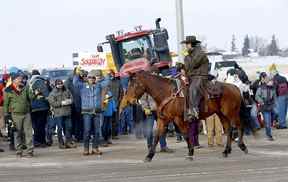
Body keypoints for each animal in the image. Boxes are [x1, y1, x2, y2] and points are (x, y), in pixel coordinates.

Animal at [120, 70, 251, 162]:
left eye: (134, 84)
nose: (128, 101)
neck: (167, 93)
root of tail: (235, 87)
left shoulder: (178, 119)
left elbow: (186, 135)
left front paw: (190, 153)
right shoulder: (163, 119)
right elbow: (157, 136)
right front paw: (149, 156)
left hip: (231, 113)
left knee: (239, 126)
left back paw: (242, 146)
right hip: (221, 114)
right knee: (229, 129)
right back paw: (226, 151)